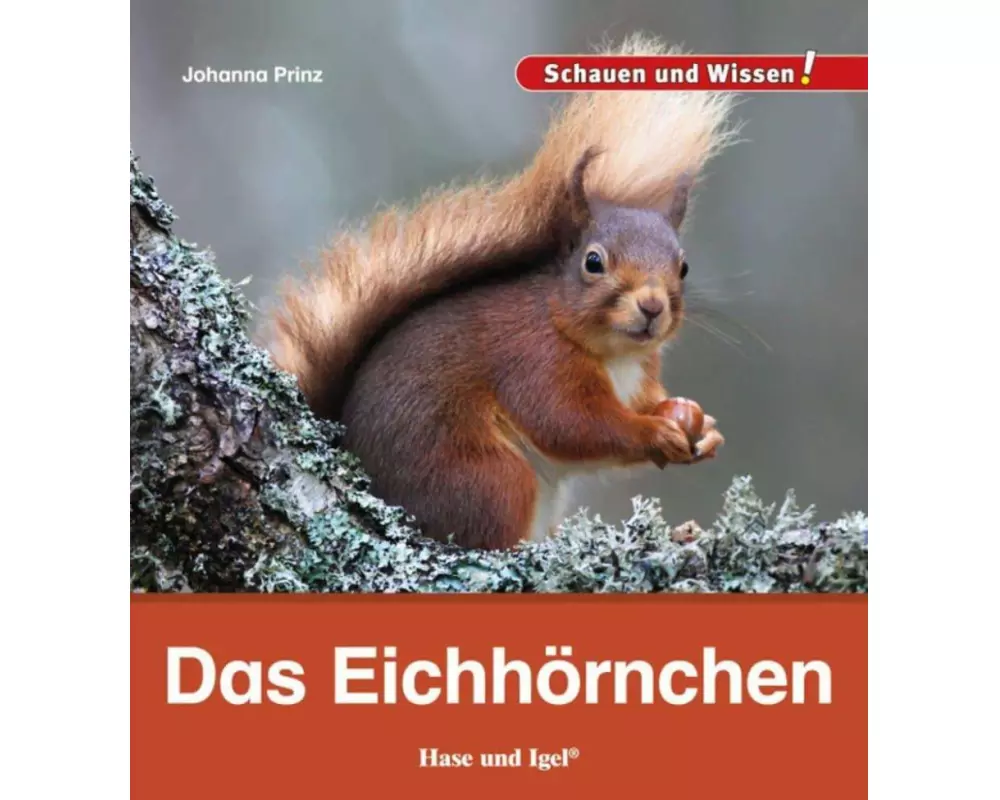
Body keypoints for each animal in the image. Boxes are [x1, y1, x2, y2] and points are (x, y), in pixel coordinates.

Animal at [265, 35, 738, 550]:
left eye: (683, 266)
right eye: (593, 262)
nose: (652, 306)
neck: (614, 355)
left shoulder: (639, 376)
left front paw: (698, 422)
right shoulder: (534, 362)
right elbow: (572, 425)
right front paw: (653, 432)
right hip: (489, 479)